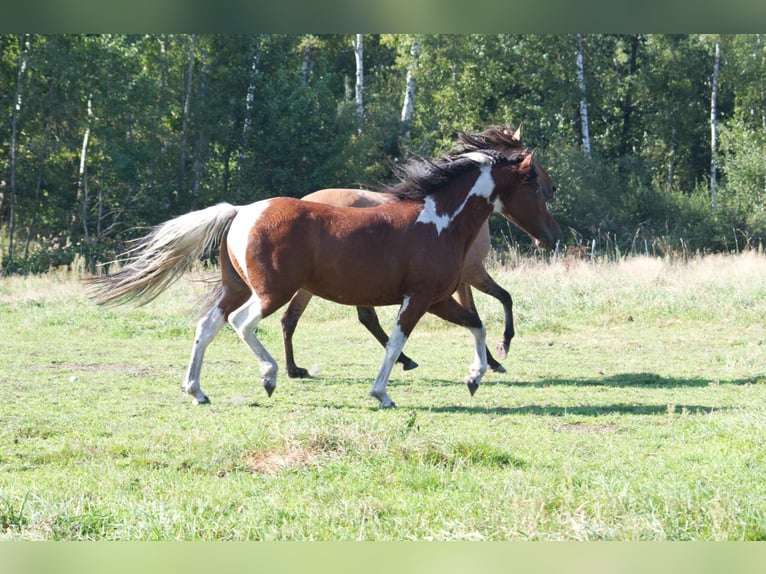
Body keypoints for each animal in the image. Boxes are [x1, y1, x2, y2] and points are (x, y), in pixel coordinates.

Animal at [88, 128, 560, 412]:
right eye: (535, 184)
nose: (552, 236)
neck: (440, 220)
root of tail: (242, 211)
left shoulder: (439, 298)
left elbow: (476, 324)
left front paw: (476, 376)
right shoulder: (421, 297)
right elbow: (397, 341)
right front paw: (383, 393)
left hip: (236, 287)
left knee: (207, 326)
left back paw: (197, 391)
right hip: (271, 292)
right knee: (243, 323)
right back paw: (271, 376)